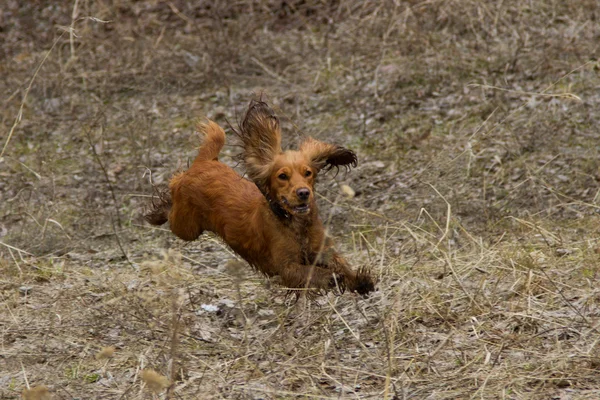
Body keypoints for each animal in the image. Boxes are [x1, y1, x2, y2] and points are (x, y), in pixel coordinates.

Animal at [146, 101, 370, 294]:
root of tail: (205, 161)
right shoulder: (286, 268)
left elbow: (341, 262)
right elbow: (312, 272)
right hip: (186, 227)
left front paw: (360, 281)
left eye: (308, 173)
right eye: (282, 176)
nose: (304, 193)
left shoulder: (321, 249)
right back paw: (156, 213)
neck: (295, 225)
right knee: (172, 190)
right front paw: (331, 277)